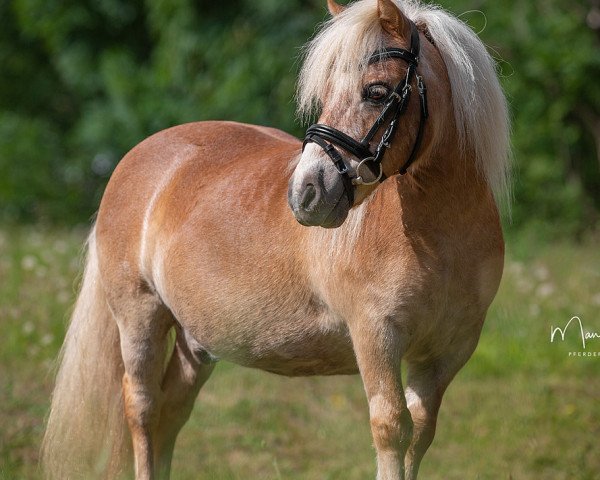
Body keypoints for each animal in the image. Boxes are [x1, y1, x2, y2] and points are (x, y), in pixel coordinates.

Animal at [43, 0, 510, 480]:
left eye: (377, 92)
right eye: (324, 94)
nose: (305, 193)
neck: (440, 240)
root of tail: (136, 156)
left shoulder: (445, 354)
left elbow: (419, 433)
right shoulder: (376, 338)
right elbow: (391, 429)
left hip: (197, 341)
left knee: (171, 411)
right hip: (139, 316)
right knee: (142, 407)